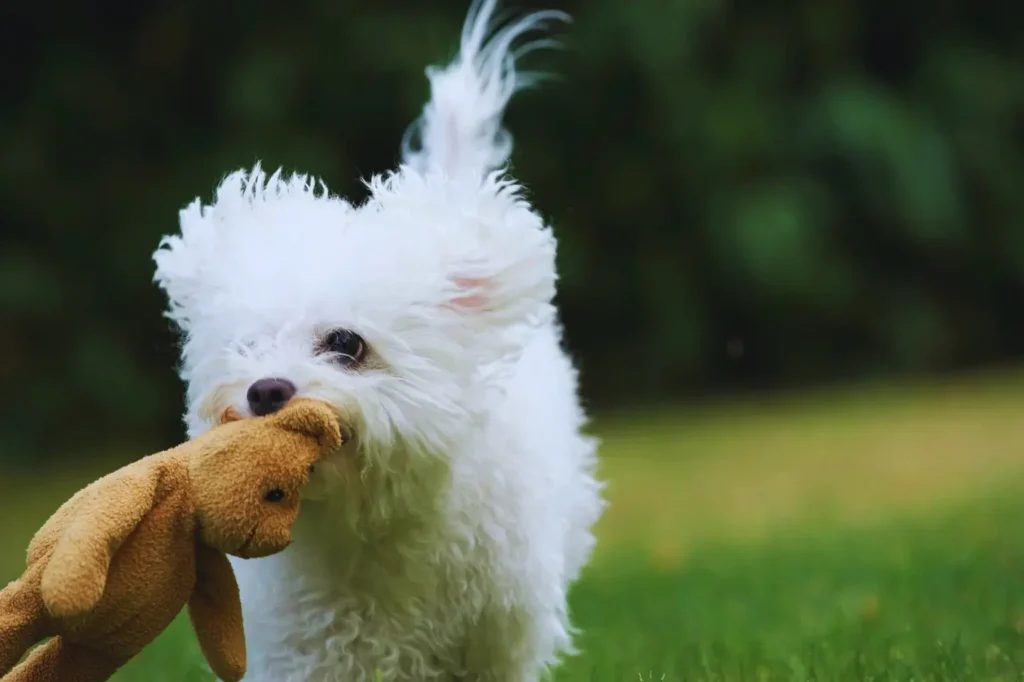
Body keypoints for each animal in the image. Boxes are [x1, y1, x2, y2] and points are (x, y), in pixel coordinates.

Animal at [150, 2, 598, 675]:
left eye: (346, 343)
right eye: (246, 347)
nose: (265, 390)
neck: (369, 525)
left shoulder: (497, 632)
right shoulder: (308, 646)